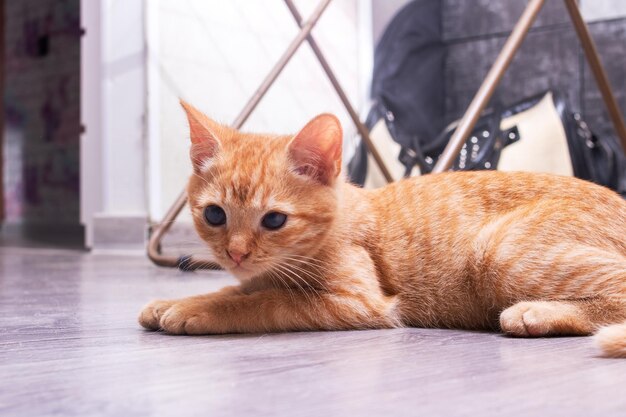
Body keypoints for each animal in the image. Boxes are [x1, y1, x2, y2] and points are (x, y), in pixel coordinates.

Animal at [140, 101, 624, 358]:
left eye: (274, 220)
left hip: (498, 250)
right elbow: (237, 288)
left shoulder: (360, 301)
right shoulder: (256, 274)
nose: (236, 253)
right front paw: (174, 301)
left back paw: (535, 313)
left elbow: (265, 302)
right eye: (215, 215)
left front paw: (197, 311)